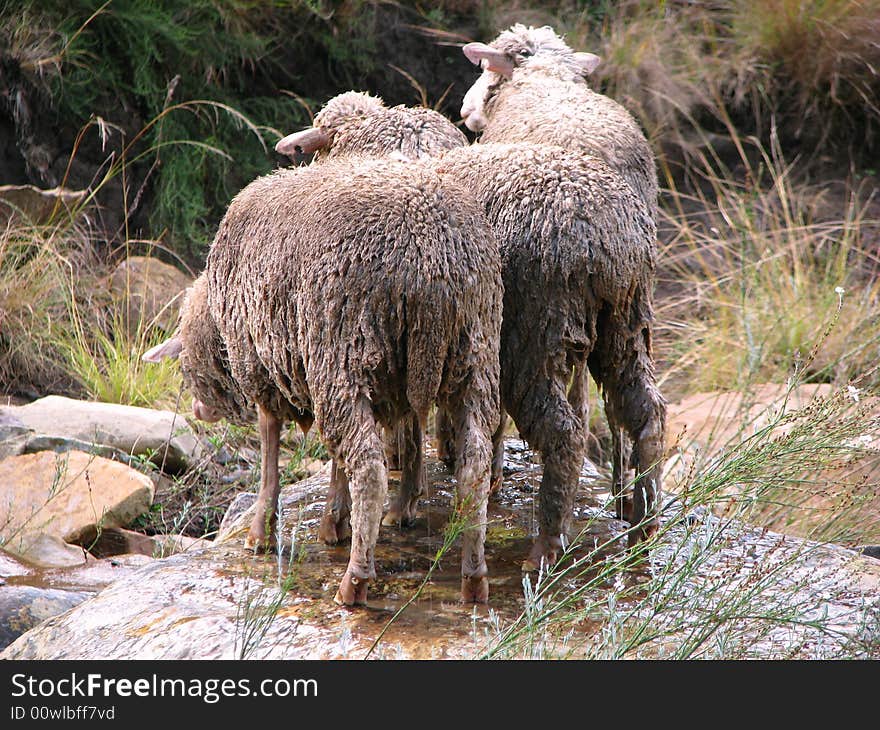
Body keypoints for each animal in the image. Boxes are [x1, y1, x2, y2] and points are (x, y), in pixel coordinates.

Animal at [146, 155, 502, 604]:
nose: (197, 410)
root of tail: (431, 256)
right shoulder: (355, 381)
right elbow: (351, 454)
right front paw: (338, 521)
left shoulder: (267, 373)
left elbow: (271, 456)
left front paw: (261, 533)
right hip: (473, 351)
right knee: (474, 465)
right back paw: (474, 577)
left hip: (343, 349)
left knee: (368, 469)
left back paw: (355, 582)